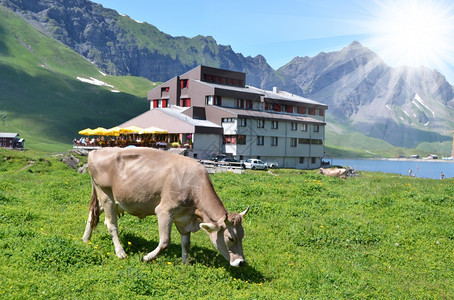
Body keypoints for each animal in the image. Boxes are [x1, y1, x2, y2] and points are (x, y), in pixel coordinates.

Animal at [83, 146, 250, 266]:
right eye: (230, 238)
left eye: (242, 235)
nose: (241, 262)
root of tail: (95, 151)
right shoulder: (164, 211)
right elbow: (165, 242)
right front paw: (147, 257)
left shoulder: (184, 218)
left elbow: (186, 243)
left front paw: (185, 263)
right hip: (107, 196)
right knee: (111, 224)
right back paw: (120, 252)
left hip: (108, 199)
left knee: (92, 213)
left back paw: (85, 239)